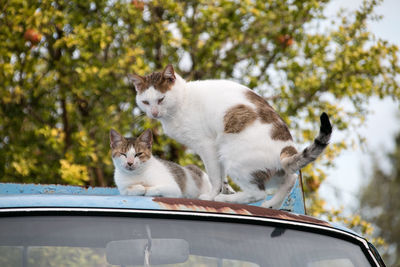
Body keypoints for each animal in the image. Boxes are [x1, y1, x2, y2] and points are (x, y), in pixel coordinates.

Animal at [130, 65, 332, 209]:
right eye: (145, 102)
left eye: (161, 99)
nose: (154, 113)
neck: (182, 102)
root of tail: (285, 148)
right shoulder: (215, 153)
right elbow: (221, 177)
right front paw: (224, 190)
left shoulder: (208, 146)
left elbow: (214, 177)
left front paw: (212, 196)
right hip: (268, 169)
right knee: (291, 179)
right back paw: (272, 204)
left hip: (233, 156)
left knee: (258, 193)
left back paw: (228, 199)